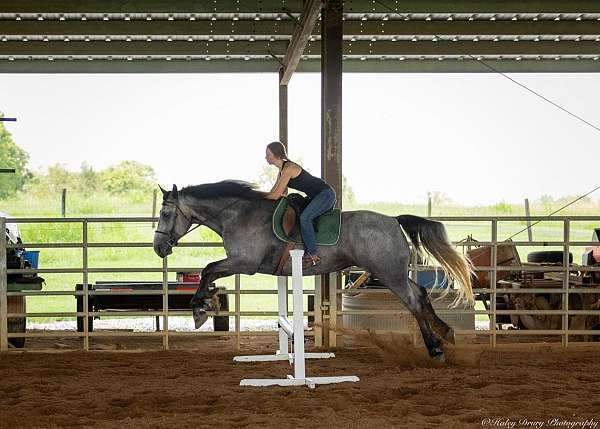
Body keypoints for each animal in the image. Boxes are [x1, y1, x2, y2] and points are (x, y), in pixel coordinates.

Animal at [154, 179, 474, 360]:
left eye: (166, 213)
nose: (158, 248)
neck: (238, 214)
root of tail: (394, 220)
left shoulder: (245, 263)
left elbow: (208, 269)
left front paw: (199, 309)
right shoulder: (241, 263)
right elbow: (208, 271)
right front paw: (203, 305)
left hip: (389, 274)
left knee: (413, 301)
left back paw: (435, 348)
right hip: (394, 273)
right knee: (420, 294)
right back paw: (446, 333)